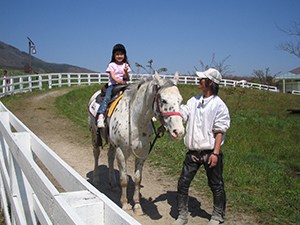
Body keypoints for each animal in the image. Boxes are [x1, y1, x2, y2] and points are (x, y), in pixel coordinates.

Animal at [87, 71, 185, 215]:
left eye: (180, 100)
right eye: (163, 100)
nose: (178, 132)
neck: (135, 120)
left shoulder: (142, 152)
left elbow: (138, 179)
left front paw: (137, 206)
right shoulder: (121, 151)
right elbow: (124, 179)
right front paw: (125, 204)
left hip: (113, 144)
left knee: (110, 157)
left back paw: (113, 184)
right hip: (94, 135)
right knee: (96, 153)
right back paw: (96, 179)